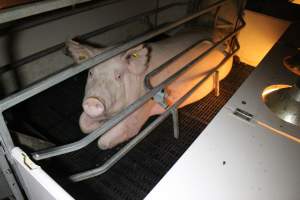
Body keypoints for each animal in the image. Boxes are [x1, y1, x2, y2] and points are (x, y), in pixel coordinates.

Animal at [67, 29, 233, 149]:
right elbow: (82, 123)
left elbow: (104, 141)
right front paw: (99, 125)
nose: (93, 101)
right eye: (91, 73)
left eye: (118, 76)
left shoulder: (141, 109)